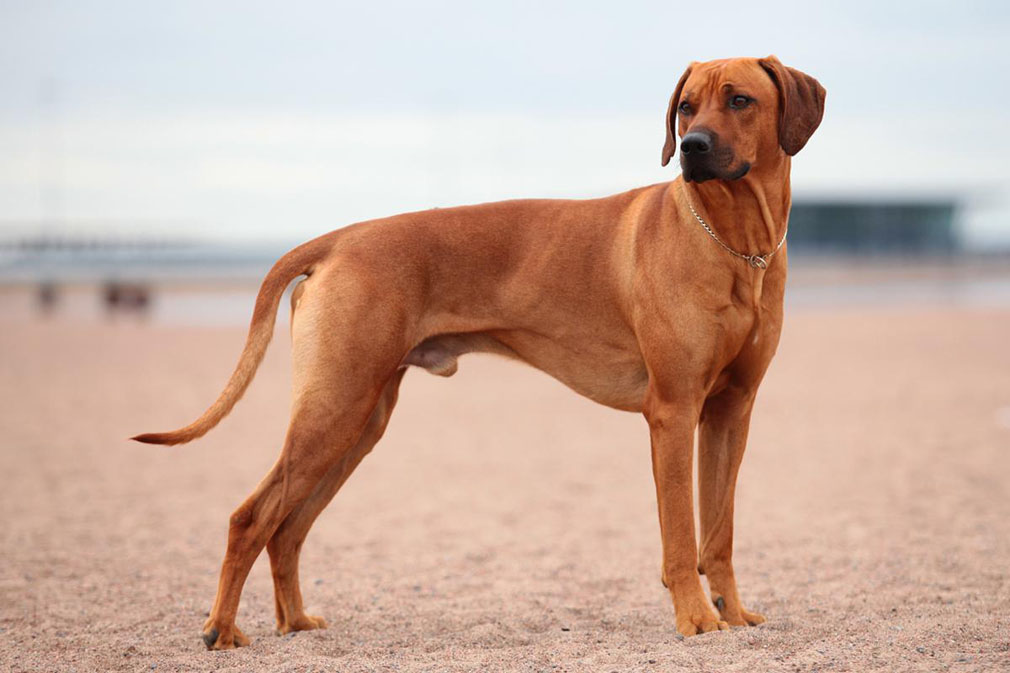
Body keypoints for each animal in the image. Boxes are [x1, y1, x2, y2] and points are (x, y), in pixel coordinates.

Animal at [134, 56, 824, 646]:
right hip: (334, 408)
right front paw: (697, 619)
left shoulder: (730, 412)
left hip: (360, 421)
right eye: (684, 108)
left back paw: (296, 621)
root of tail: (340, 239)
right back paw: (222, 630)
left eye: (739, 100)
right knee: (252, 518)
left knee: (288, 529)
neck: (737, 244)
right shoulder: (674, 412)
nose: (692, 148)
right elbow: (682, 536)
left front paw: (733, 613)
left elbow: (720, 533)